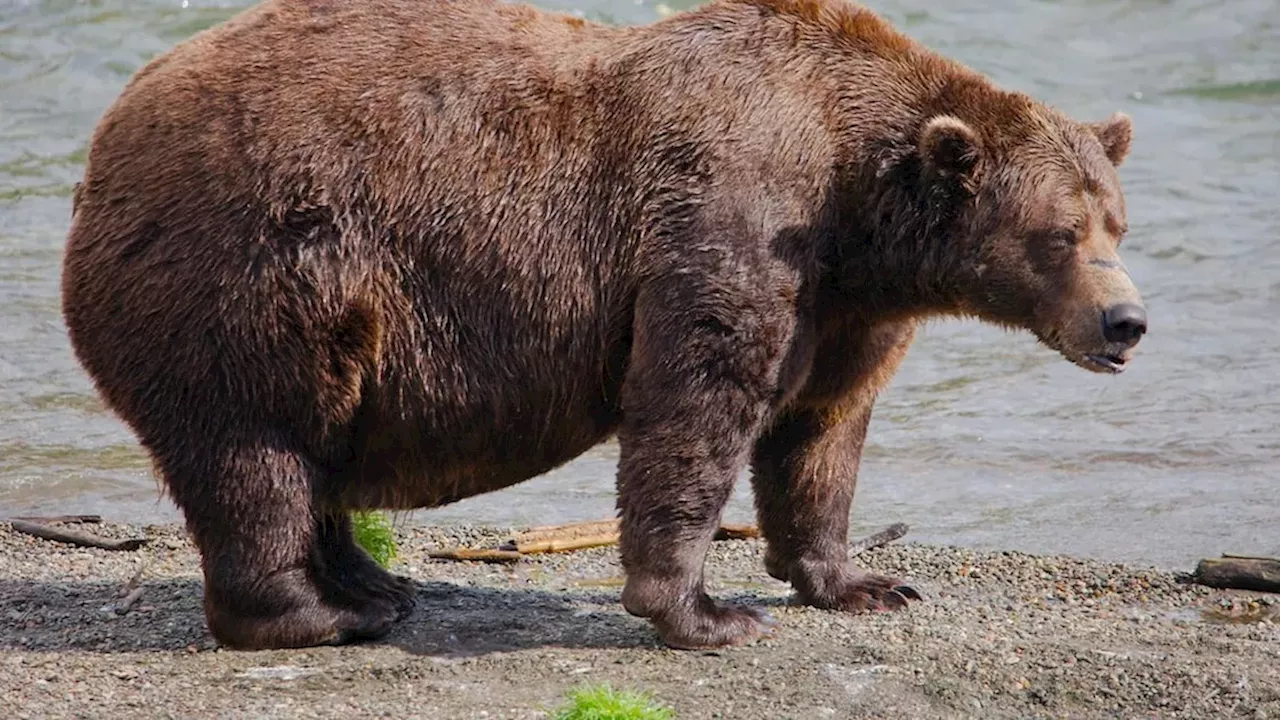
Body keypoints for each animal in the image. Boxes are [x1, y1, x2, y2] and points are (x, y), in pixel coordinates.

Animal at [61, 0, 1148, 651]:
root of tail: (103, 145)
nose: (1126, 320)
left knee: (312, 453)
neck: (853, 202)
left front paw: (857, 579)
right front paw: (705, 610)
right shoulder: (729, 220)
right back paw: (317, 612)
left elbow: (821, 432)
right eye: (1057, 234)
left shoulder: (847, 305)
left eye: (1115, 221)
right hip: (251, 273)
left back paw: (375, 587)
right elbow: (697, 404)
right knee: (257, 450)